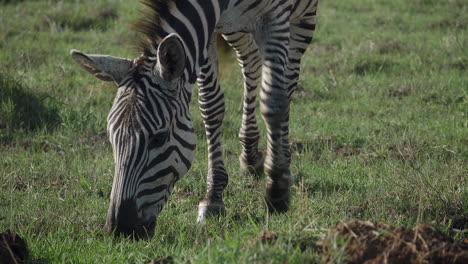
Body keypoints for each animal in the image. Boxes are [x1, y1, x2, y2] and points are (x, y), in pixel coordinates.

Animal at [69, 0, 318, 238]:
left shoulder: (276, 18)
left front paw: (277, 191)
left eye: (158, 138)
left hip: (302, 18)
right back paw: (249, 154)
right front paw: (213, 197)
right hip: (236, 27)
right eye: (111, 138)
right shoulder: (209, 28)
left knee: (288, 81)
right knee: (250, 63)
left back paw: (282, 161)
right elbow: (211, 105)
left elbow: (275, 99)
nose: (120, 229)